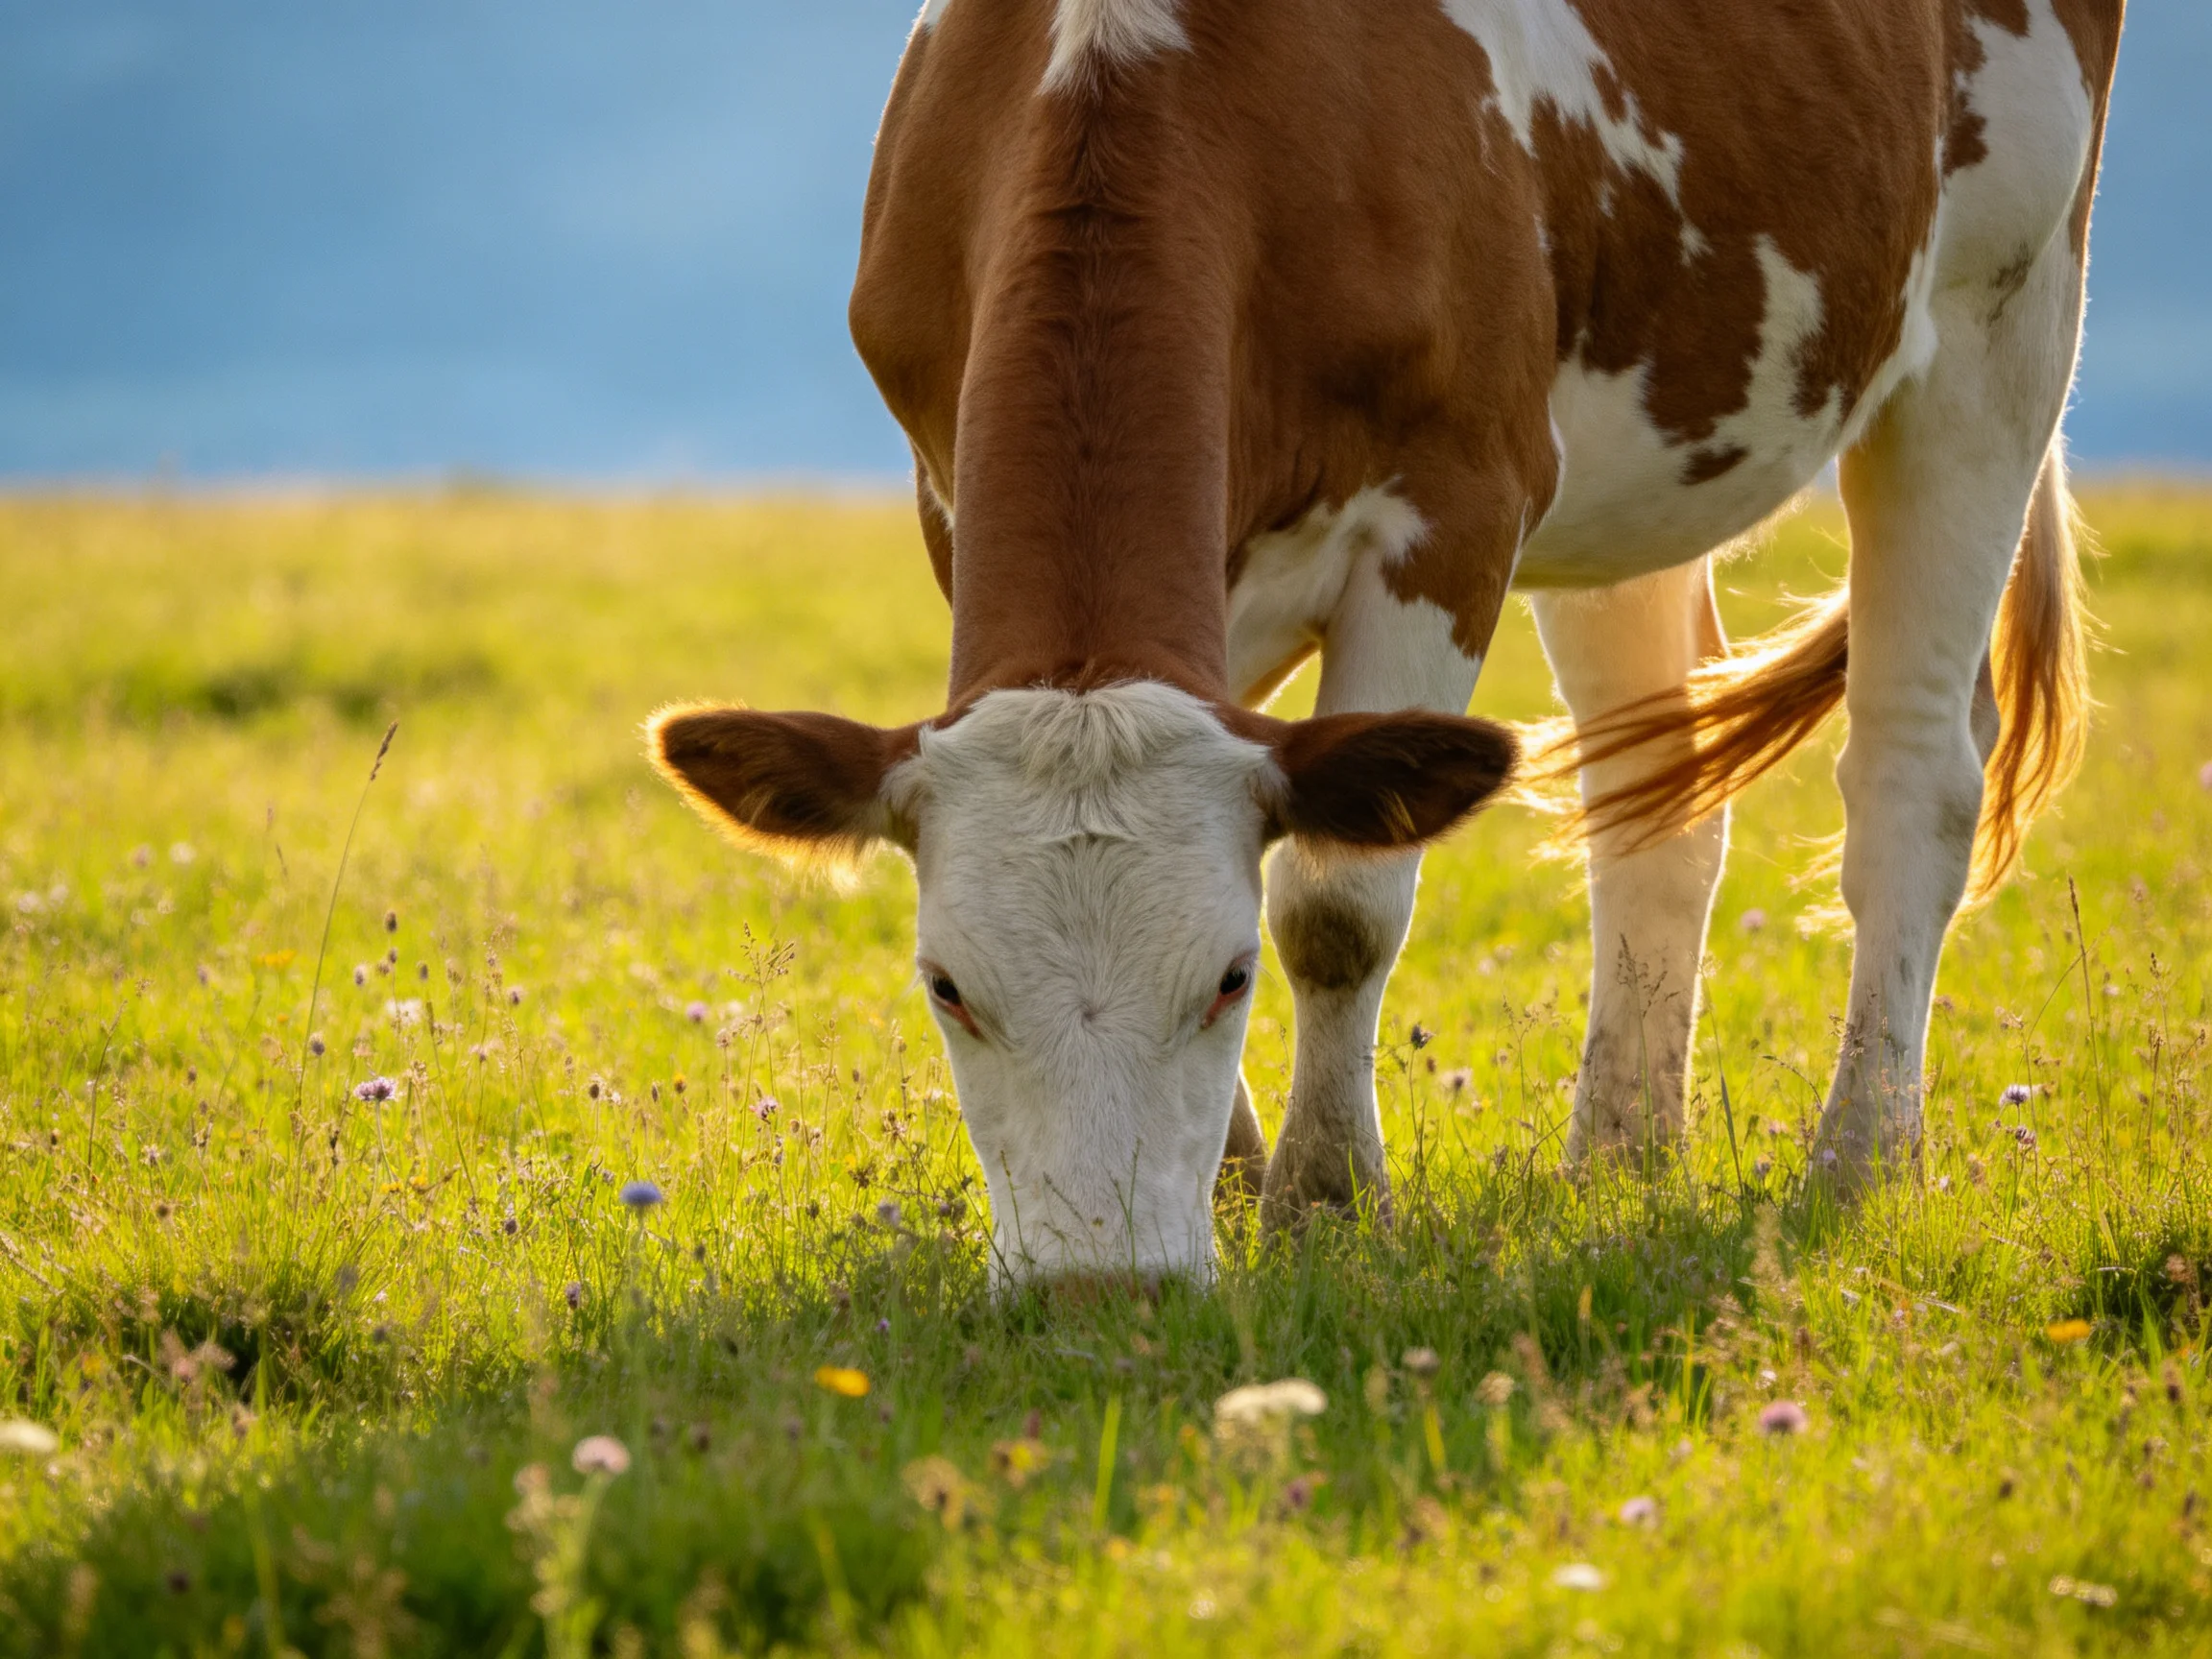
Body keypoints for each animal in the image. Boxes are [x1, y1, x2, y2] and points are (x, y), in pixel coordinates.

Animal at [651, 0, 2124, 1282]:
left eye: (1229, 980)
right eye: (947, 987)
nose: (1098, 1289)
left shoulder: (1454, 502)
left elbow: (1340, 903)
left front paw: (1324, 1204)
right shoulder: (963, 501)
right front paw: (1236, 1187)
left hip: (2002, 321)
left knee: (1913, 778)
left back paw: (1859, 1161)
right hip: (1640, 468)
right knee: (1655, 793)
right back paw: (1620, 1162)